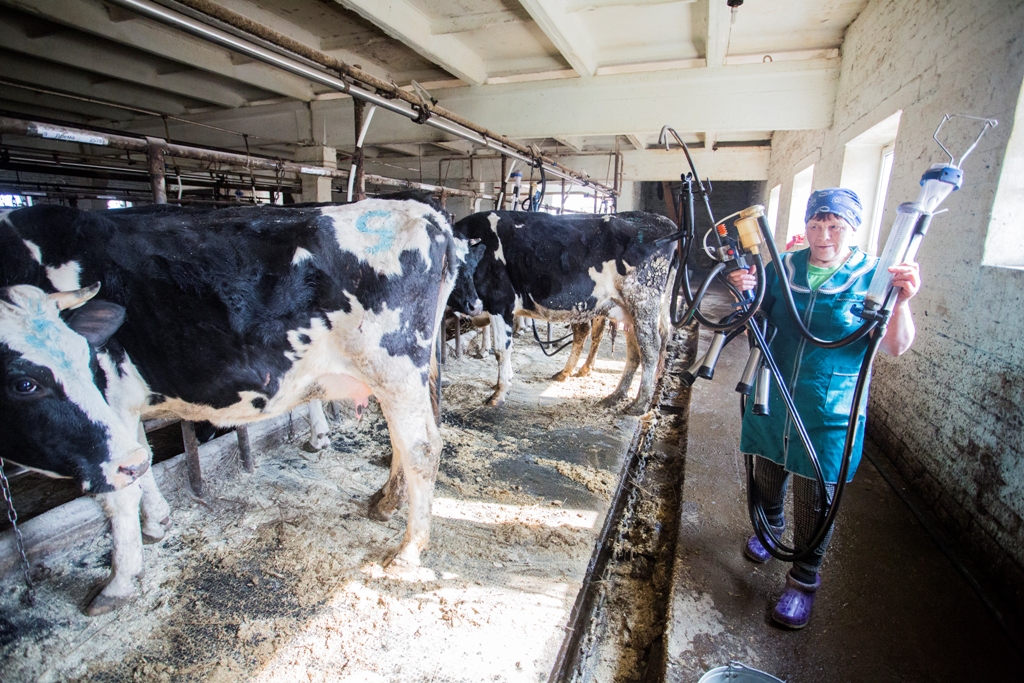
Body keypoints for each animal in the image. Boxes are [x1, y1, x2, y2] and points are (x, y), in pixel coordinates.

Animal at [0, 200, 471, 618]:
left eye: (25, 383)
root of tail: (425, 212)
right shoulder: (121, 408)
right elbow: (141, 462)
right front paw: (156, 522)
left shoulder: (108, 395)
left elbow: (120, 490)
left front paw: (119, 581)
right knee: (402, 442)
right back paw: (385, 502)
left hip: (393, 364)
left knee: (421, 448)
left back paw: (408, 551)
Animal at [450, 211, 675, 417]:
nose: (471, 304)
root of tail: (661, 220)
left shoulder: (500, 302)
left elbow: (501, 351)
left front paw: (499, 393)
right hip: (627, 311)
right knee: (634, 351)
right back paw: (615, 396)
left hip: (642, 302)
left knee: (650, 348)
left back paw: (640, 404)